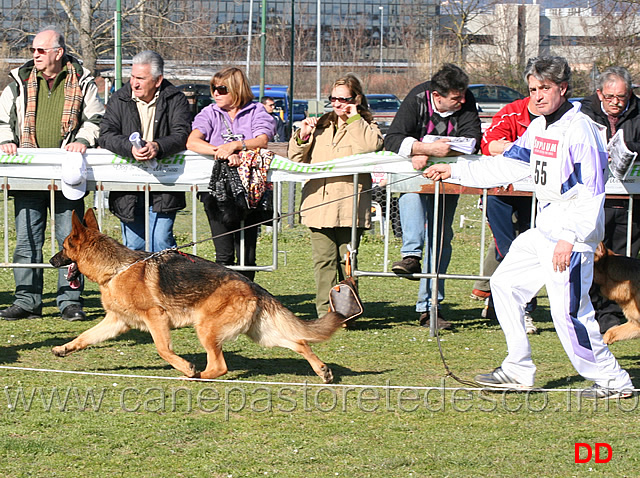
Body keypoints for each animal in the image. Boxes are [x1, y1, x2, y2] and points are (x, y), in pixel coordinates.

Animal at [48, 208, 344, 380]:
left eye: (64, 246)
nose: (50, 260)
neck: (116, 269)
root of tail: (252, 286)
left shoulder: (156, 317)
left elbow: (162, 349)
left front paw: (184, 366)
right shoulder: (116, 322)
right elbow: (84, 337)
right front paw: (63, 348)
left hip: (206, 329)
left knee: (220, 366)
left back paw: (196, 375)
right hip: (261, 334)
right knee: (300, 342)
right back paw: (322, 370)